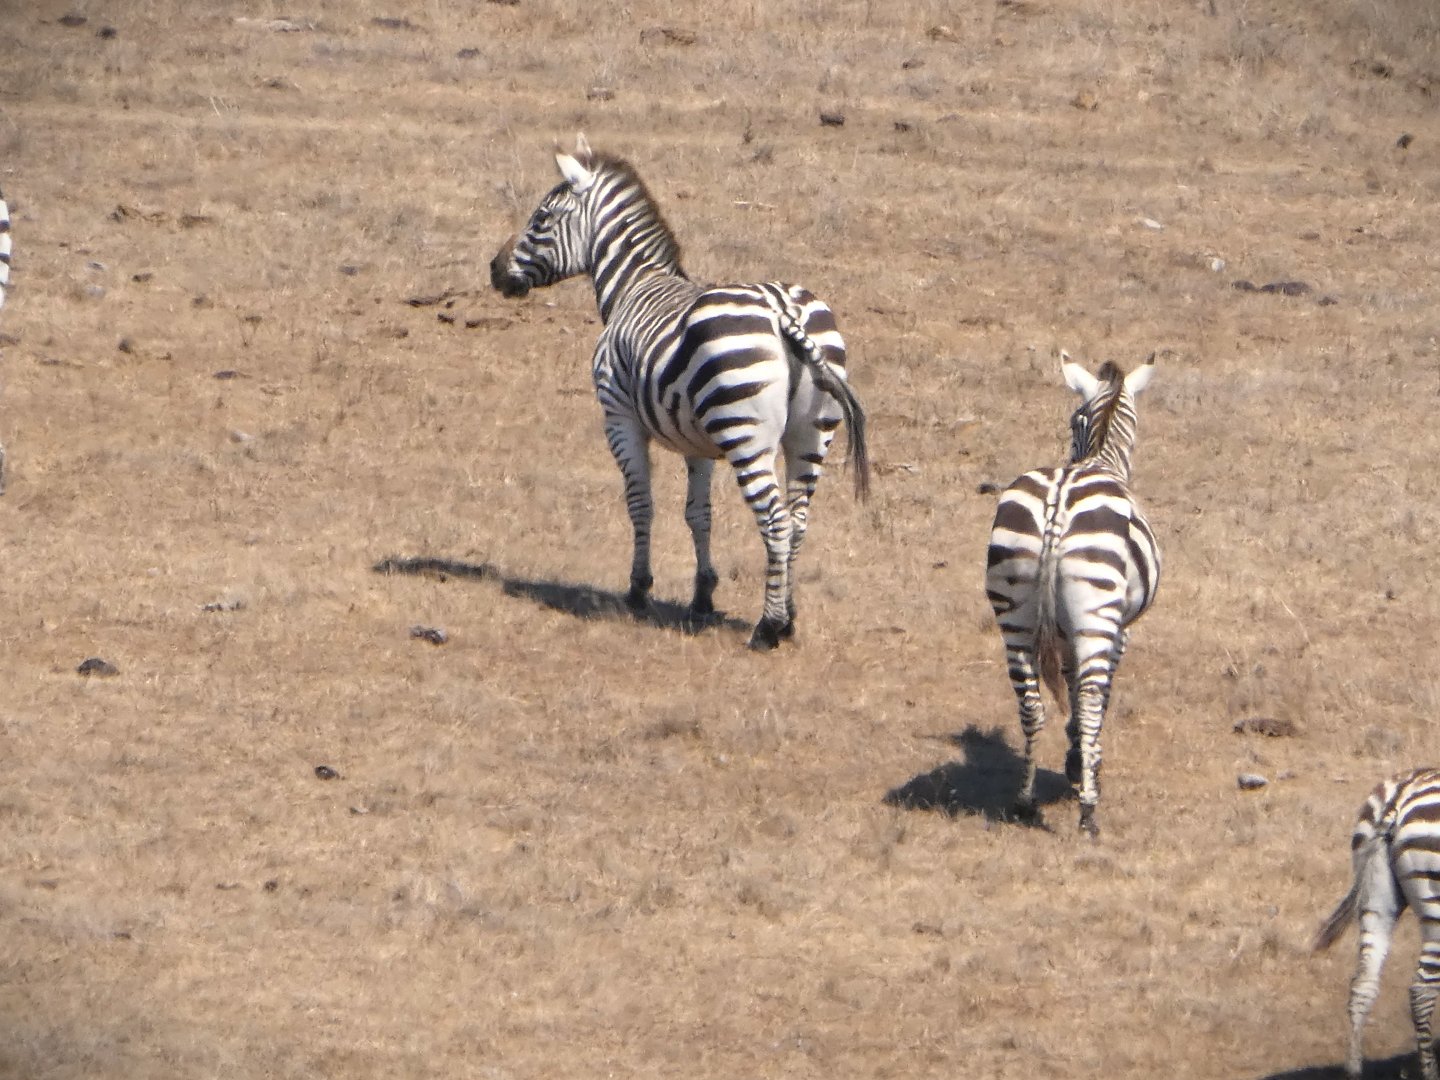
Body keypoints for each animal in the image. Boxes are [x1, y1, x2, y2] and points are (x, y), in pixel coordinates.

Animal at [489, 135, 869, 650]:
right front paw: (702, 595)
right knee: (799, 521)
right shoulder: (698, 442)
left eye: (541, 219)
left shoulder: (619, 418)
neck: (633, 285)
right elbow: (698, 513)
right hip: (811, 433)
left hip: (745, 434)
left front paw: (638, 589)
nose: (494, 270)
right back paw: (788, 618)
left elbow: (640, 502)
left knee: (776, 520)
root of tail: (782, 309)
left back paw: (767, 627)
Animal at [983, 353, 1159, 836]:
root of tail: (1057, 503)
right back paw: (1088, 812)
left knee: (1030, 704)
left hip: (1015, 614)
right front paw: (1083, 764)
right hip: (1096, 614)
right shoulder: (1120, 630)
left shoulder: (1062, 632)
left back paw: (1024, 802)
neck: (1100, 458)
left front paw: (1075, 756)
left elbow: (1068, 680)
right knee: (1094, 696)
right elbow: (1093, 693)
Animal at [1314, 766, 1440, 1080]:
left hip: (1375, 898)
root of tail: (1401, 795)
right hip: (1436, 907)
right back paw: (1431, 1072)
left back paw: (1354, 1070)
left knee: (1363, 983)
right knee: (1421, 992)